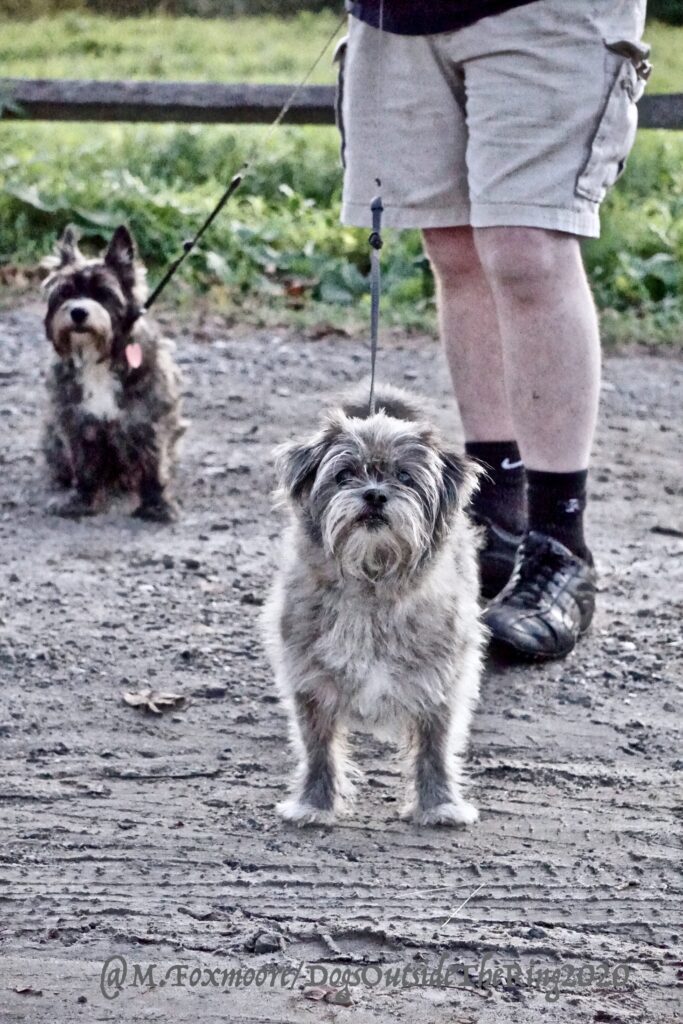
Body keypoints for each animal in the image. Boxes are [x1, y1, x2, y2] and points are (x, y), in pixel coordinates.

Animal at [41, 229, 184, 524]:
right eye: (65, 292)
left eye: (103, 293)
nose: (78, 312)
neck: (99, 358)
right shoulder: (77, 422)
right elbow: (84, 464)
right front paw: (81, 501)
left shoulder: (149, 418)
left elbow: (153, 463)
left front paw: (157, 506)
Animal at [264, 387, 485, 827]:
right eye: (344, 475)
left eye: (405, 477)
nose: (375, 493)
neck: (372, 585)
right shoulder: (309, 682)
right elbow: (318, 748)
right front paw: (314, 803)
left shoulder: (442, 683)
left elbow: (436, 747)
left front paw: (440, 804)